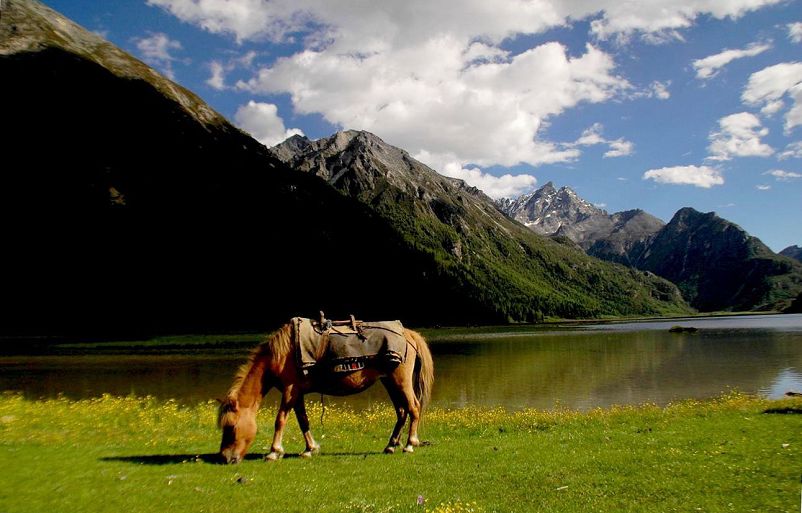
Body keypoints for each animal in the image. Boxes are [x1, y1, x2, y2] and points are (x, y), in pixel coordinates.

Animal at [217, 318, 432, 462]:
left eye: (231, 427)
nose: (225, 458)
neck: (283, 353)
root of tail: (408, 334)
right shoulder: (296, 394)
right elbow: (303, 421)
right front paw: (309, 449)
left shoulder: (289, 391)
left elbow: (280, 420)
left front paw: (273, 451)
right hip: (389, 382)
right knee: (402, 412)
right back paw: (390, 446)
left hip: (400, 381)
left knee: (413, 408)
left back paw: (410, 444)